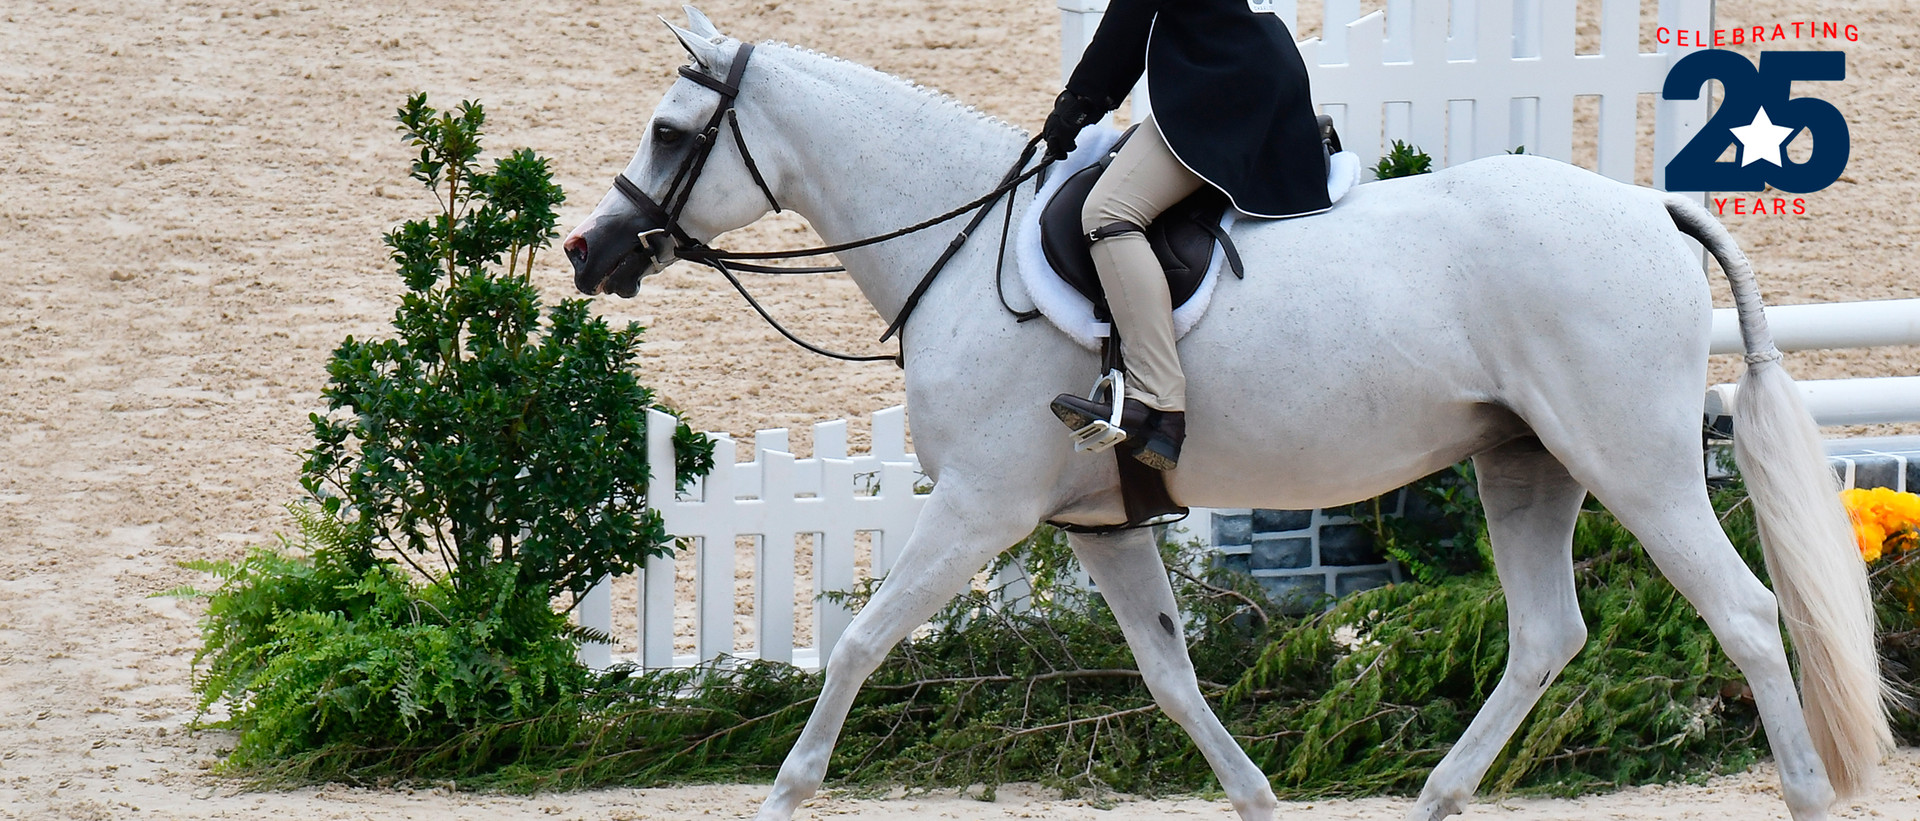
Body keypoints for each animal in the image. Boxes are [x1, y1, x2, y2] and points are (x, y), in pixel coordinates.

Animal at [561, 10, 1890, 821]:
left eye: (671, 133)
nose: (589, 251)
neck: (960, 243)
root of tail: (1647, 207)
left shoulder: (981, 507)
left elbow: (857, 644)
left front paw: (784, 790)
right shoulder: (1101, 523)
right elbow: (1171, 678)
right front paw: (1256, 795)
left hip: (1636, 465)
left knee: (1747, 615)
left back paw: (1802, 790)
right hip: (1527, 464)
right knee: (1545, 636)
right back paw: (1435, 794)